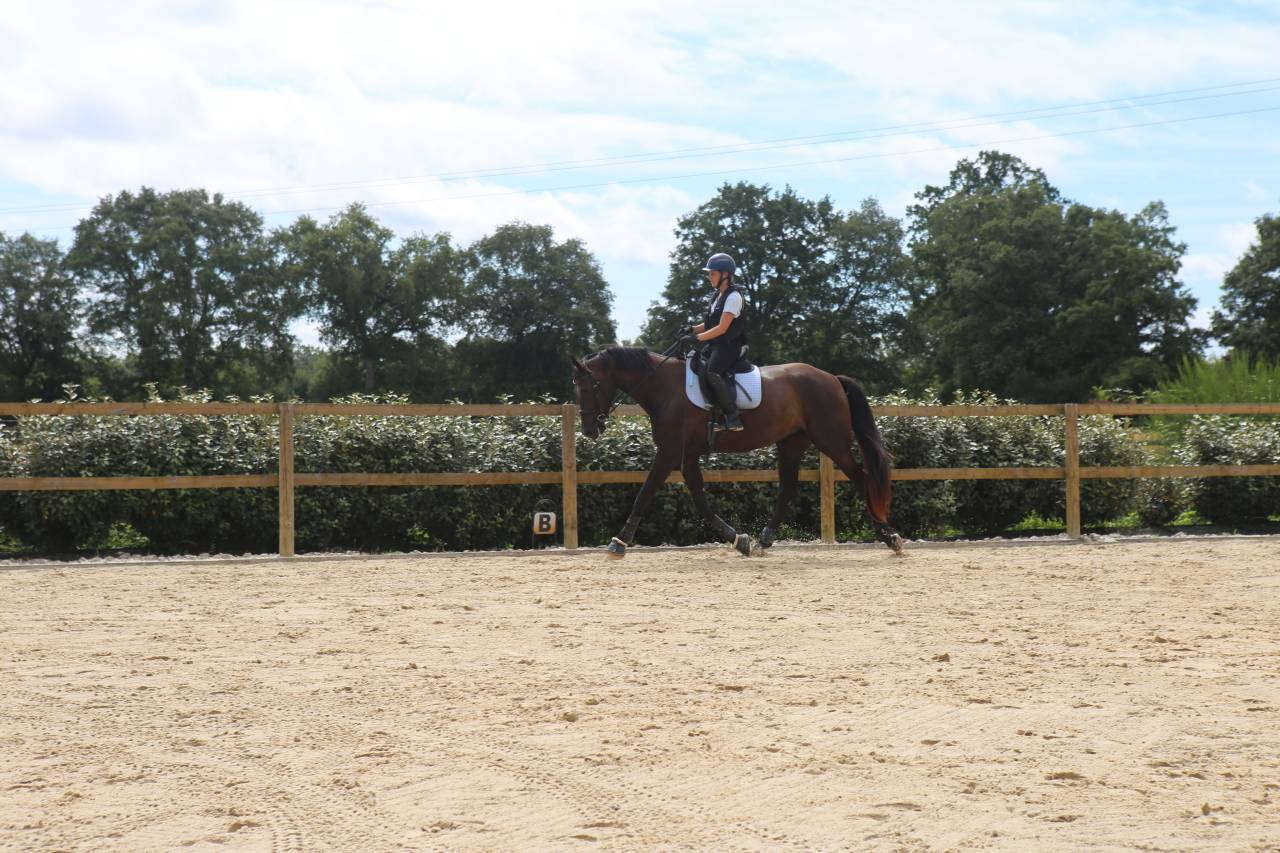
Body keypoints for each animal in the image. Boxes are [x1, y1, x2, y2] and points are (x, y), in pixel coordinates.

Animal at [570, 345, 904, 558]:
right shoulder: (686, 456)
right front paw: (739, 540)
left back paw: (891, 538)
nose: (589, 430)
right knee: (787, 489)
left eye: (590, 387)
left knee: (861, 479)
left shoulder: (668, 454)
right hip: (792, 443)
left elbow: (645, 493)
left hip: (831, 441)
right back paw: (764, 540)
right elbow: (701, 502)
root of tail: (832, 378)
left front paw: (619, 542)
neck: (665, 388)